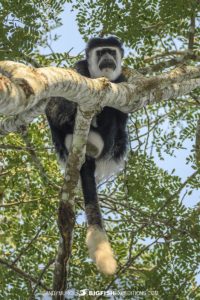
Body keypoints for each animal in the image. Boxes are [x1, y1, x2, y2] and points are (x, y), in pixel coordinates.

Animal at [45, 36, 127, 276]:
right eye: (100, 53)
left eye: (111, 52)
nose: (107, 58)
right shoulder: (80, 66)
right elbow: (57, 100)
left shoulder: (124, 80)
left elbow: (122, 117)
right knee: (58, 105)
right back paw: (74, 118)